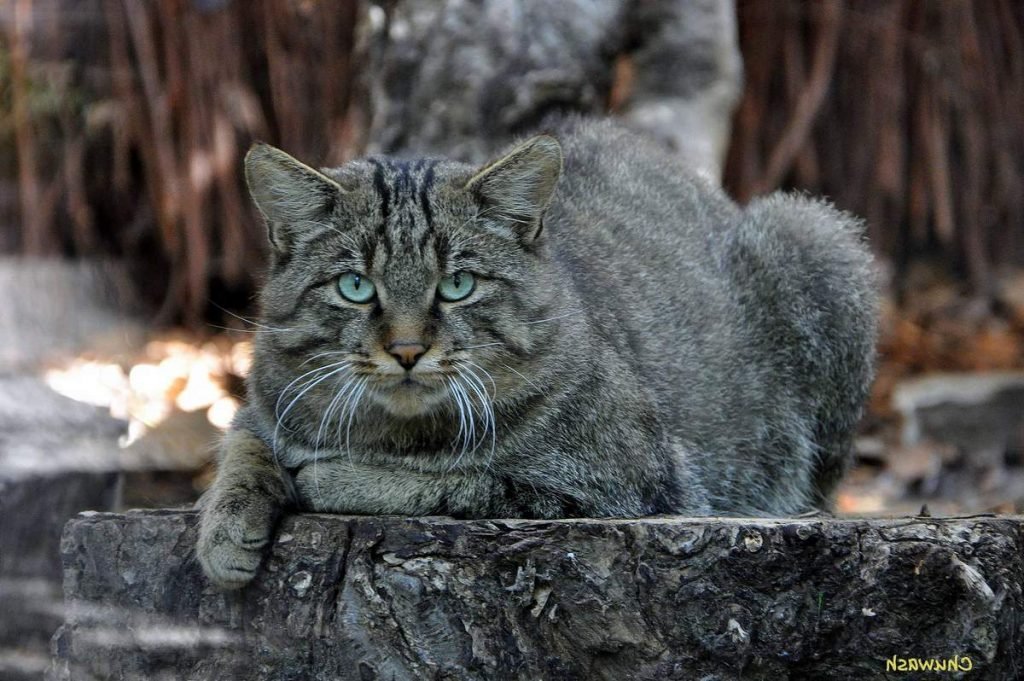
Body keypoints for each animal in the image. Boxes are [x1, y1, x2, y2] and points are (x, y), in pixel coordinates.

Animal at [195, 119, 876, 585]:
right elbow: (243, 446)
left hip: (814, 235)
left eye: (458, 284)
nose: (408, 350)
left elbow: (456, 482)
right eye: (355, 287)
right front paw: (225, 525)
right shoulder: (264, 399)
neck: (393, 432)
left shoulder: (616, 485)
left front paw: (332, 476)